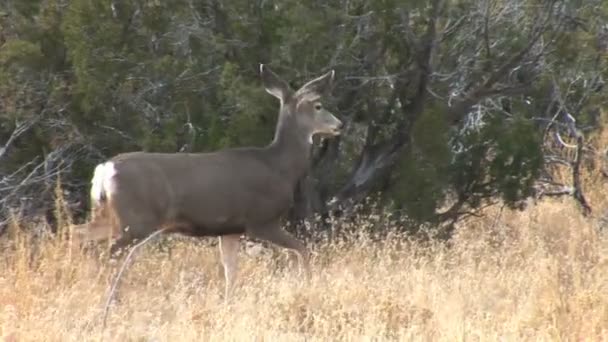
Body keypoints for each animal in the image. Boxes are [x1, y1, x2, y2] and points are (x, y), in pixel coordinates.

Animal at [71, 64, 342, 300]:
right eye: (318, 105)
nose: (339, 125)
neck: (280, 167)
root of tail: (105, 169)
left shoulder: (231, 229)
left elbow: (230, 270)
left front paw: (229, 302)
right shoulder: (261, 220)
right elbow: (301, 249)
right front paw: (308, 284)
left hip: (111, 214)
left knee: (78, 233)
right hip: (137, 220)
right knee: (109, 252)